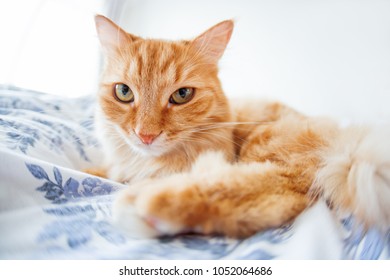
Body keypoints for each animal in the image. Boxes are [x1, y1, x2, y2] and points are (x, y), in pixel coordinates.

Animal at [93, 15, 390, 237]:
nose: (145, 135)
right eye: (124, 92)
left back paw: (148, 203)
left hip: (270, 149)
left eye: (182, 95)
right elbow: (101, 170)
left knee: (275, 190)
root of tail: (348, 142)